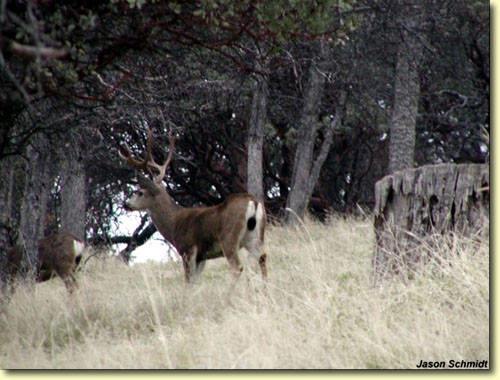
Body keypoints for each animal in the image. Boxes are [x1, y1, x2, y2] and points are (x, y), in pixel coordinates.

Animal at [118, 130, 268, 282]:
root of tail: (253, 202)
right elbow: (195, 281)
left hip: (229, 238)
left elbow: (188, 281)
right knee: (262, 258)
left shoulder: (187, 249)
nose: (126, 204)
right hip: (254, 237)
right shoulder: (202, 257)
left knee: (238, 267)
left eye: (140, 192)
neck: (174, 224)